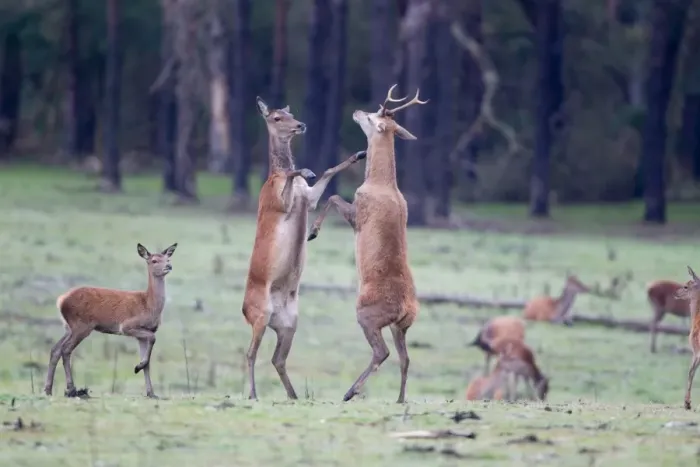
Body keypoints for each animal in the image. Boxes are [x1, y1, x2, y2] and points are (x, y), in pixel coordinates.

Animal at [44, 243, 178, 398]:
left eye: (168, 259)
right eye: (154, 260)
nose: (169, 266)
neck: (148, 304)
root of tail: (61, 300)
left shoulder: (143, 334)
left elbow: (148, 362)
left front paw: (151, 393)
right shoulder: (127, 326)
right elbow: (152, 340)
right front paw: (137, 367)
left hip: (69, 327)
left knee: (55, 349)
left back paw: (48, 390)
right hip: (81, 326)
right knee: (65, 349)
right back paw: (71, 389)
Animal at [241, 97, 367, 400]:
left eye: (291, 113)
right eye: (276, 117)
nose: (301, 125)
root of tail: (244, 310)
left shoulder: (308, 199)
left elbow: (328, 173)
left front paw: (359, 153)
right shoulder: (279, 203)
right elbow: (293, 175)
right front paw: (306, 169)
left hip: (289, 323)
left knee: (277, 358)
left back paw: (294, 395)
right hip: (260, 316)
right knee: (250, 353)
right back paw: (253, 394)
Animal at [307, 85, 427, 403]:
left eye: (373, 118)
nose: (358, 111)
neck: (380, 183)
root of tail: (406, 308)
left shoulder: (359, 214)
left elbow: (334, 197)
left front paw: (312, 232)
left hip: (367, 313)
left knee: (381, 352)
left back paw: (350, 392)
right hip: (402, 325)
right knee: (405, 358)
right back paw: (400, 399)